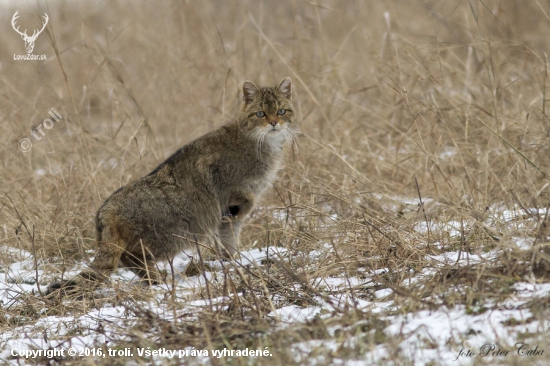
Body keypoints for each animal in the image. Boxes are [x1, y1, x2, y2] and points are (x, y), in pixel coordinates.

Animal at [48, 78, 298, 294]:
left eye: (282, 111)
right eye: (261, 113)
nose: (274, 123)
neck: (263, 144)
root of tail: (104, 210)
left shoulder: (227, 218)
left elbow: (229, 241)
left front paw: (232, 261)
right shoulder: (227, 186)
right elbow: (242, 204)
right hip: (170, 236)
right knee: (130, 258)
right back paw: (157, 278)